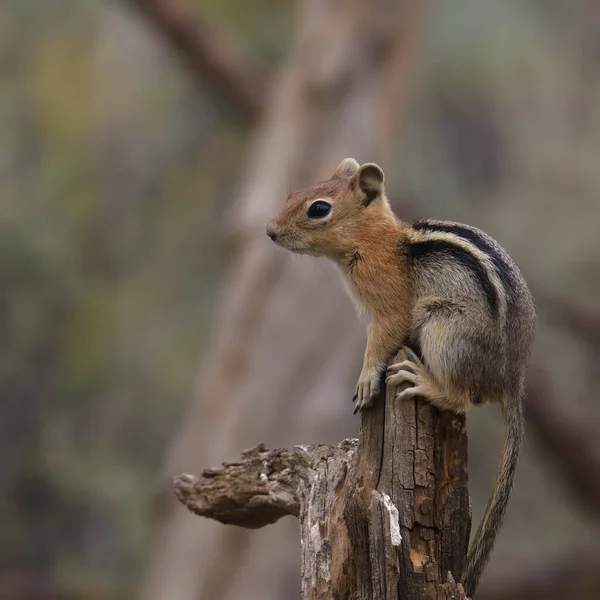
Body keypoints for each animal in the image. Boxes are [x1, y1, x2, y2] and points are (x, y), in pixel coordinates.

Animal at [266, 157, 536, 596]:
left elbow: (380, 342)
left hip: (441, 328)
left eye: (319, 209)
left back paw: (423, 379)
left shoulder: (390, 307)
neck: (378, 240)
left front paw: (364, 380)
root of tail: (514, 378)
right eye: (293, 194)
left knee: (461, 398)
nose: (269, 231)